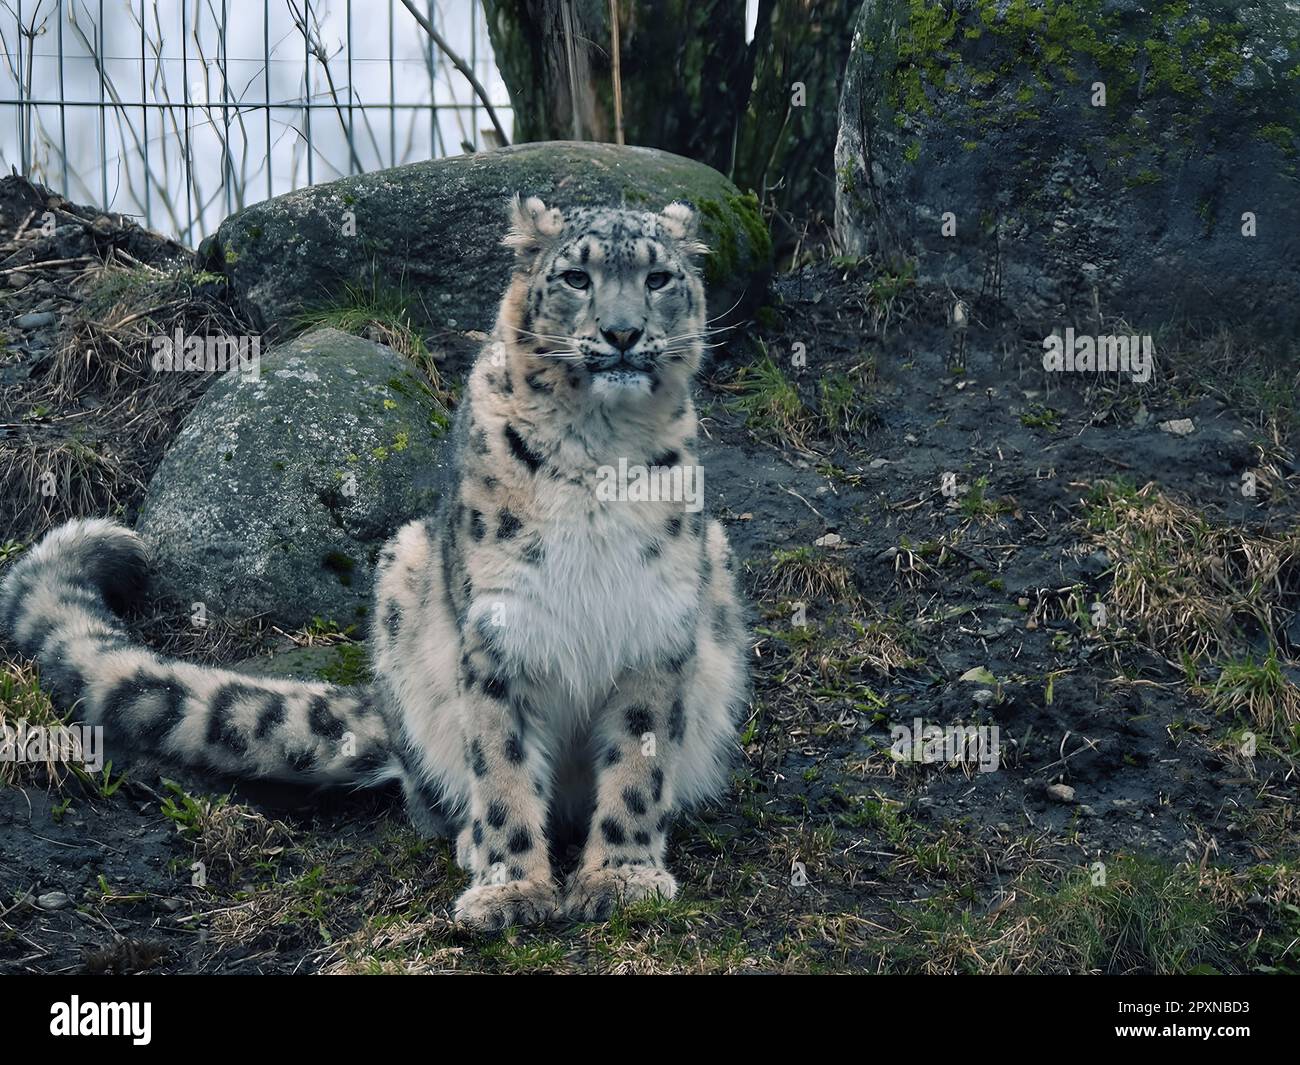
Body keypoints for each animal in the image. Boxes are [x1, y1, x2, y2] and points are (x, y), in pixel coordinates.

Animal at [0, 196, 754, 931]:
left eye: (658, 278)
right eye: (577, 277)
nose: (624, 332)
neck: (601, 448)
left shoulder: (654, 623)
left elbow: (637, 761)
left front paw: (623, 875)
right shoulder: (498, 629)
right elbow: (502, 763)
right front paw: (509, 889)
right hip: (404, 578)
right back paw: (470, 840)